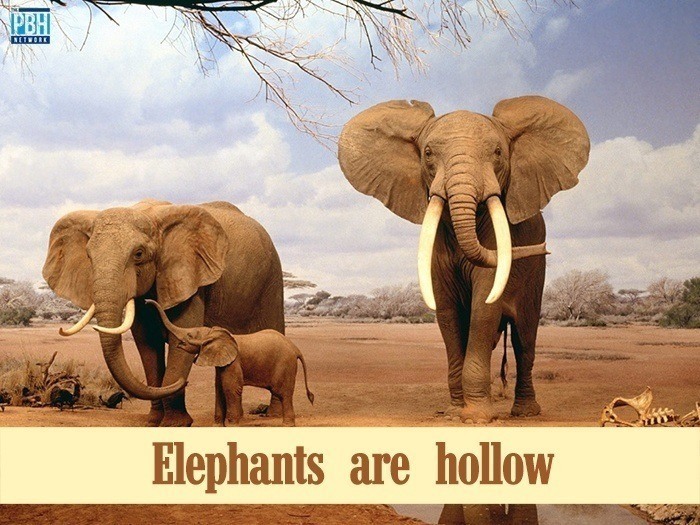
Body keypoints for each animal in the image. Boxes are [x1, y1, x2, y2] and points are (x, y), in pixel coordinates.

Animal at [43, 199, 285, 426]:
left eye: (139, 254)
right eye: (89, 256)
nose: (184, 382)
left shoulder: (189, 278)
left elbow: (181, 336)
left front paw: (175, 424)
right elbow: (147, 344)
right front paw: (153, 421)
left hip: (272, 278)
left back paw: (272, 414)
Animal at [147, 299, 314, 427]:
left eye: (189, 335)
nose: (146, 301)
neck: (214, 333)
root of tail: (295, 348)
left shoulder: (234, 362)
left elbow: (230, 388)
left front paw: (233, 425)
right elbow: (219, 388)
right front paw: (217, 426)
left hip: (285, 364)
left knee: (283, 393)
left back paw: (287, 425)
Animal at [338, 96, 589, 423]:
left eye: (498, 152)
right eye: (428, 153)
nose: (544, 248)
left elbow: (484, 307)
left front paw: (476, 418)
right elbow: (447, 312)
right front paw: (454, 412)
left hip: (536, 275)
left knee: (525, 339)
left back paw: (525, 413)